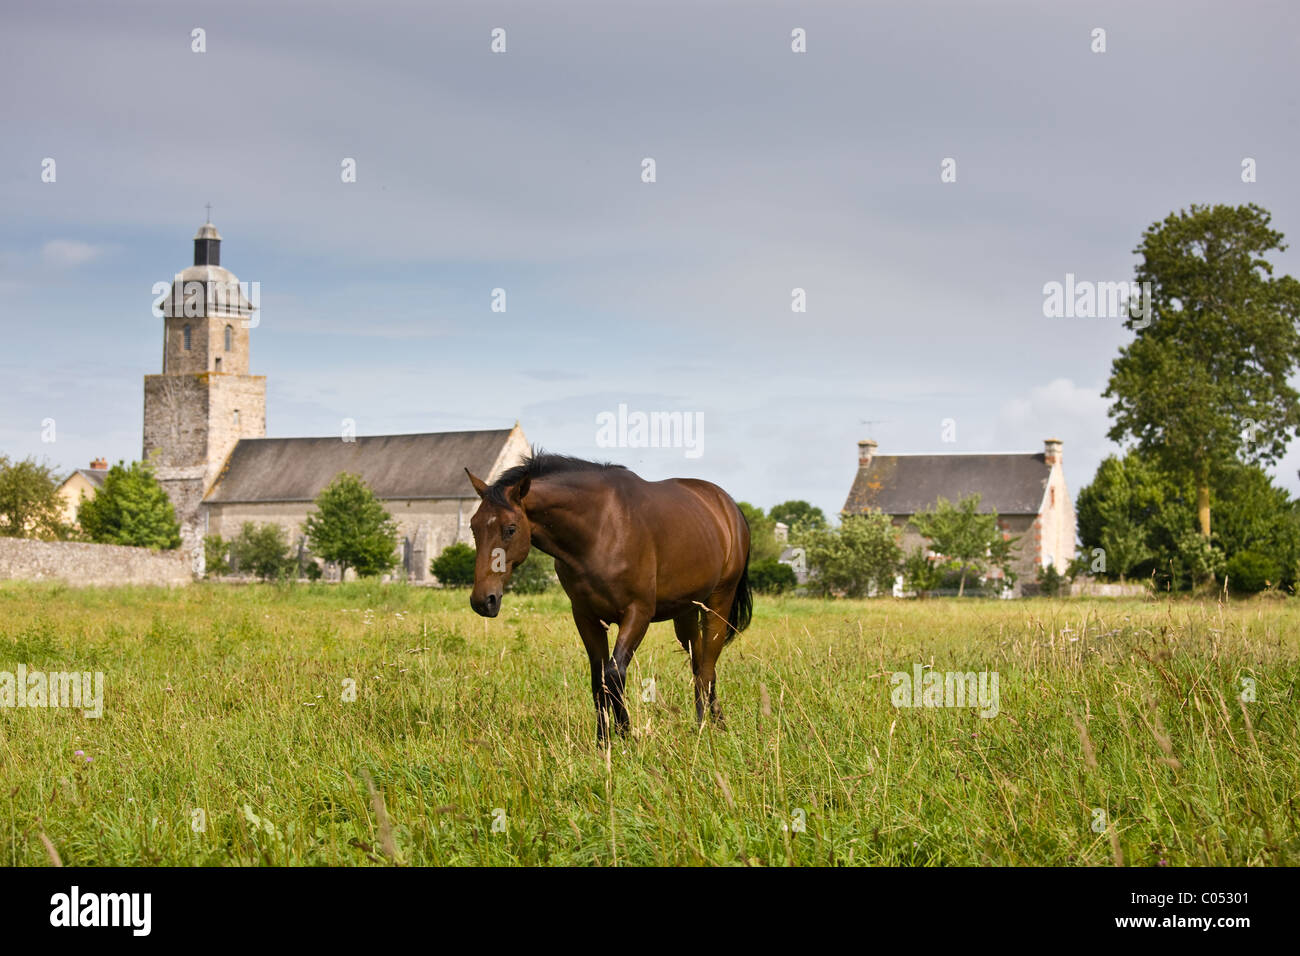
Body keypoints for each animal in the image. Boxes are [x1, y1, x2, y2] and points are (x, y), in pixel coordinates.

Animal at [465, 455, 754, 738]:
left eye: (510, 529)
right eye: (473, 527)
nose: (483, 600)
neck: (602, 528)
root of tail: (728, 507)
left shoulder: (638, 614)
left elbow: (614, 674)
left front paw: (626, 733)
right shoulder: (587, 617)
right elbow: (599, 679)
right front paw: (603, 739)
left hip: (718, 603)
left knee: (707, 665)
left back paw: (707, 726)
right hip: (686, 613)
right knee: (699, 663)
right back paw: (710, 722)